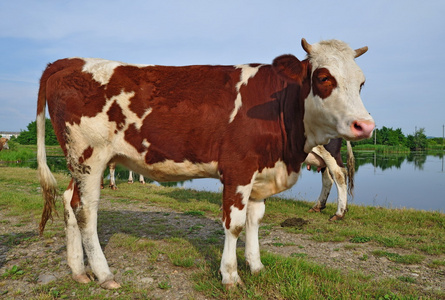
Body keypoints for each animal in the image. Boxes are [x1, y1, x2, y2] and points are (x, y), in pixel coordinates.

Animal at [36, 37, 372, 288]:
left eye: (361, 83)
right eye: (324, 77)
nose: (365, 125)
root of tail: (68, 61)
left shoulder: (260, 173)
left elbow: (255, 220)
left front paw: (256, 266)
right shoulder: (238, 168)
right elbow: (234, 224)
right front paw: (231, 276)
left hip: (77, 162)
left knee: (68, 201)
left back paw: (79, 271)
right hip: (90, 156)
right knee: (86, 210)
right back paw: (104, 274)